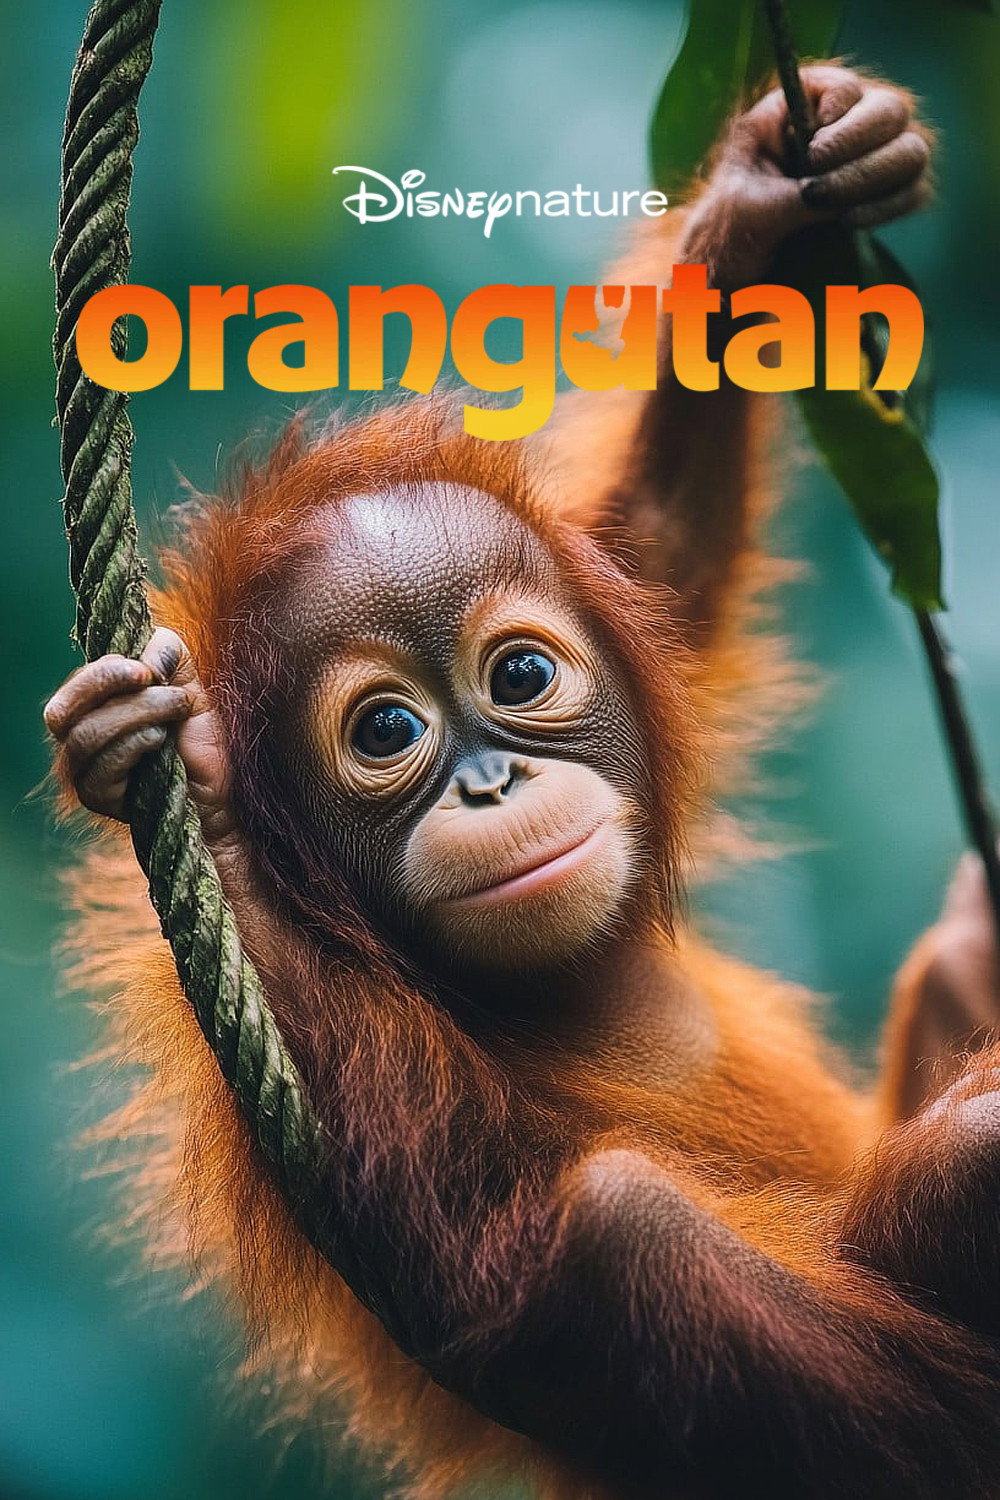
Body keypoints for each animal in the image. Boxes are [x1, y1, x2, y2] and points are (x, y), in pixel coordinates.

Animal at [45, 64, 1000, 1500]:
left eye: (522, 676)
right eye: (386, 730)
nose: (490, 785)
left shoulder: (630, 598)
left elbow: (654, 560)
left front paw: (759, 208)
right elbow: (452, 1233)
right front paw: (201, 803)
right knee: (627, 1229)